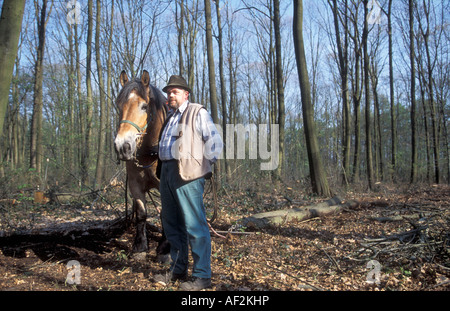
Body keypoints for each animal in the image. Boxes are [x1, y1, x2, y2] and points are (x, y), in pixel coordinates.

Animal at [113, 69, 168, 255]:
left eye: (144, 106)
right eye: (118, 106)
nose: (122, 146)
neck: (150, 154)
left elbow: (165, 214)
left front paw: (165, 248)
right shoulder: (135, 185)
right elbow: (142, 214)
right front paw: (140, 246)